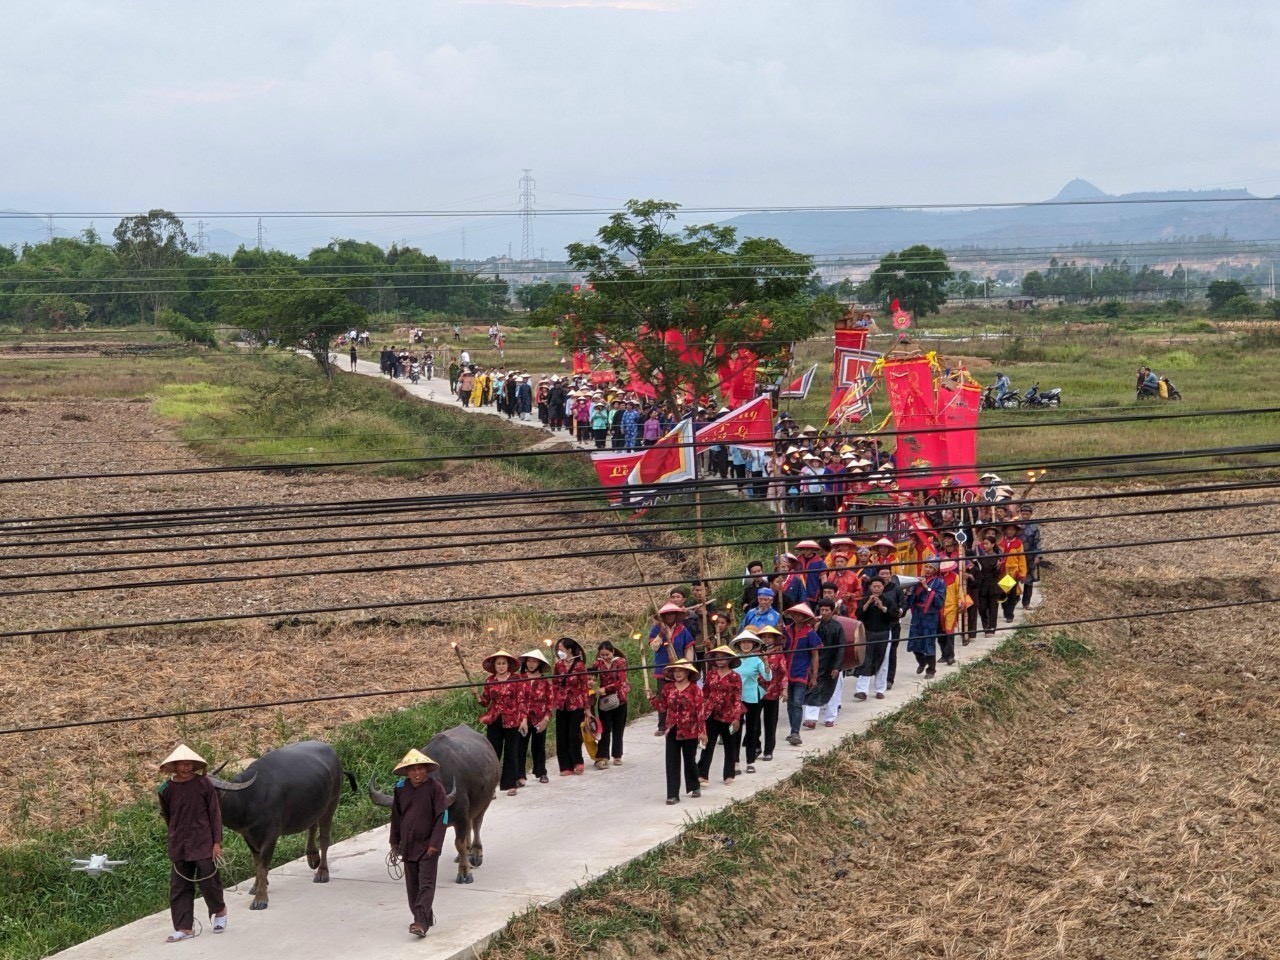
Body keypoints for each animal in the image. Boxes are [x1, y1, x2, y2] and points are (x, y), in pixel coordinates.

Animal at [209, 742, 358, 911]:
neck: (246, 799)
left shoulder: (271, 834)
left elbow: (262, 865)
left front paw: (260, 898)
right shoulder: (248, 835)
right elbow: (256, 862)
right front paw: (256, 886)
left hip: (332, 802)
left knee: (324, 839)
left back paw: (322, 873)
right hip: (313, 805)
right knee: (312, 825)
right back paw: (312, 857)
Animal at [371, 727, 499, 885]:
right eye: (397, 817)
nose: (402, 846)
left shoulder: (461, 817)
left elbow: (459, 843)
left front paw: (464, 873)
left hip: (485, 800)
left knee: (476, 824)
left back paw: (475, 854)